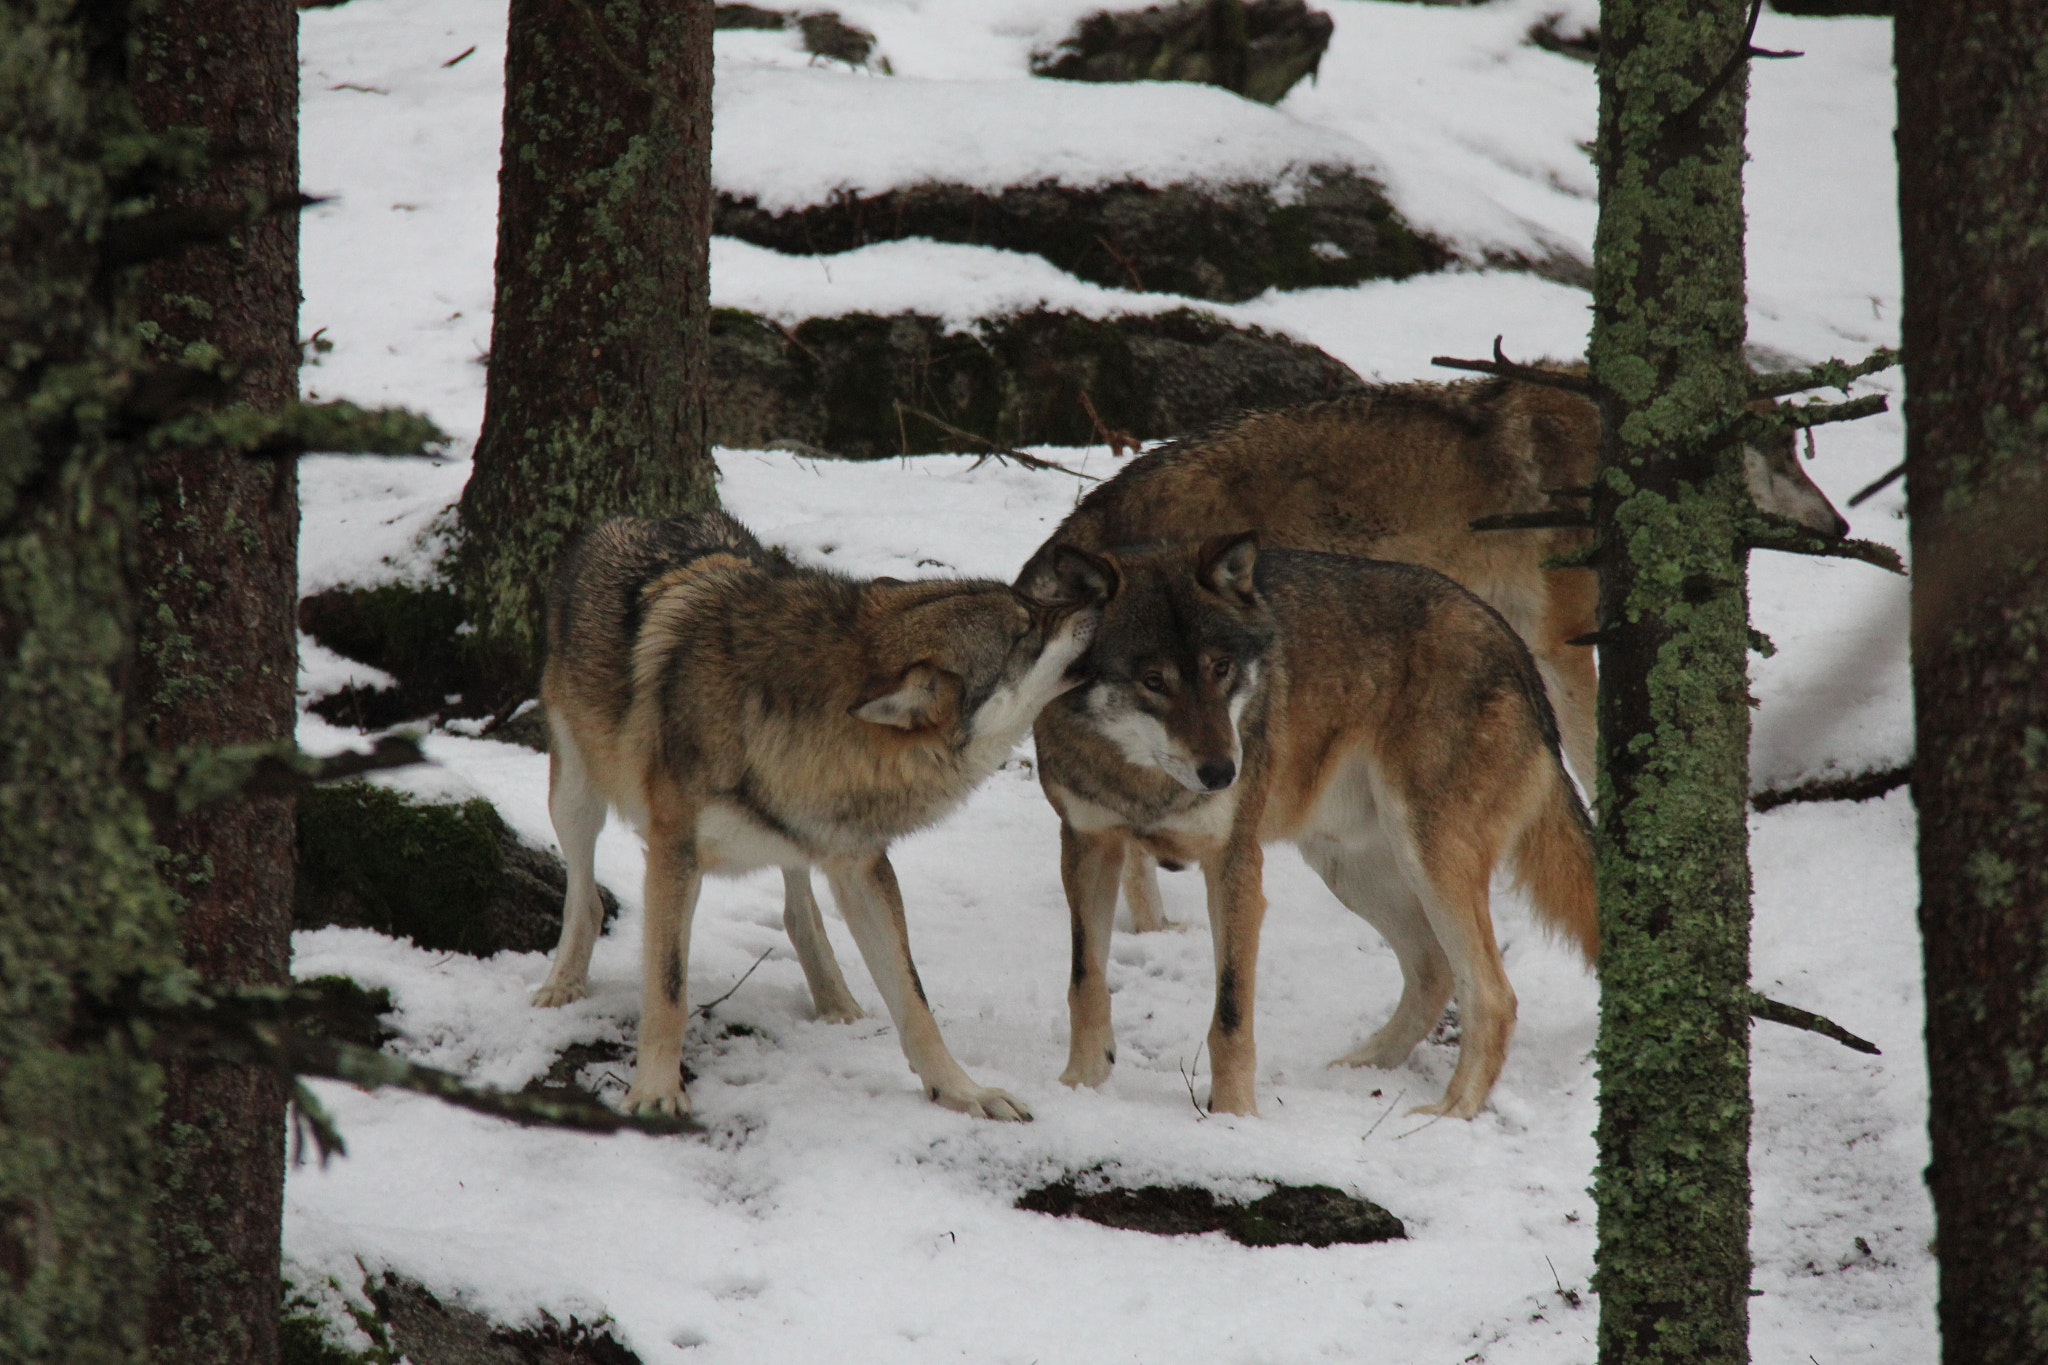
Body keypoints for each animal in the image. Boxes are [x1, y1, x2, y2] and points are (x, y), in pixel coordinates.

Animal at [531, 511, 1110, 1120]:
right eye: (1025, 631)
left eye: (1033, 604)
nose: (1102, 598)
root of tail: (635, 516)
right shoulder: (674, 854)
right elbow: (668, 989)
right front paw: (656, 1093)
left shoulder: (860, 863)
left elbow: (914, 999)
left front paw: (963, 1091)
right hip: (574, 797)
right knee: (586, 898)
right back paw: (562, 984)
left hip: (797, 843)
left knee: (798, 911)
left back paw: (835, 999)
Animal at [1024, 534, 1598, 1119]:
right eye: (1153, 681)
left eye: (1222, 668)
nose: (1223, 773)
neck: (1140, 778)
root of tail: (1513, 645)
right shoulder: (1087, 846)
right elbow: (1085, 980)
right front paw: (1080, 1084)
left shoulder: (1233, 863)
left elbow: (1230, 1014)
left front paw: (1234, 1117)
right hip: (1348, 868)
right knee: (1434, 970)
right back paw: (1362, 1065)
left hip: (1427, 859)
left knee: (1492, 995)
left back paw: (1449, 1113)